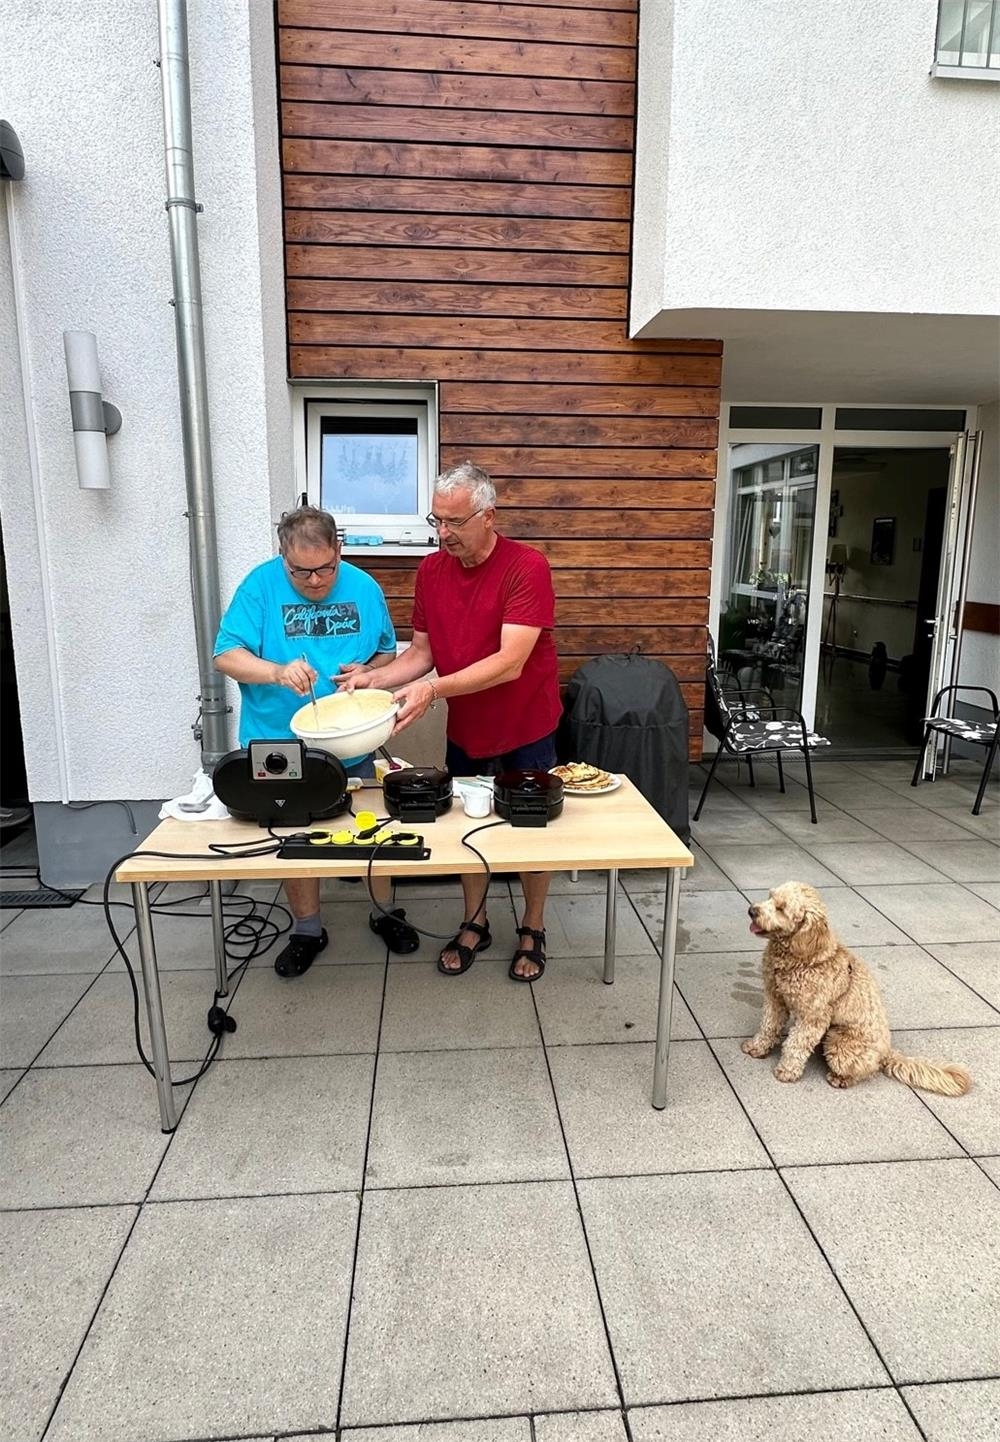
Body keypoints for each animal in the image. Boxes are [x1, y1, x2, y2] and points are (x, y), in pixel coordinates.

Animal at [738, 876, 969, 1090]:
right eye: (769, 896)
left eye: (781, 908)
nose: (751, 910)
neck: (804, 957)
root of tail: (887, 1051)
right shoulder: (775, 998)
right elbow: (768, 1025)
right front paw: (757, 1047)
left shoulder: (814, 1017)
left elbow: (796, 1043)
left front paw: (787, 1071)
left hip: (838, 1041)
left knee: (865, 1071)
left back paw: (841, 1078)